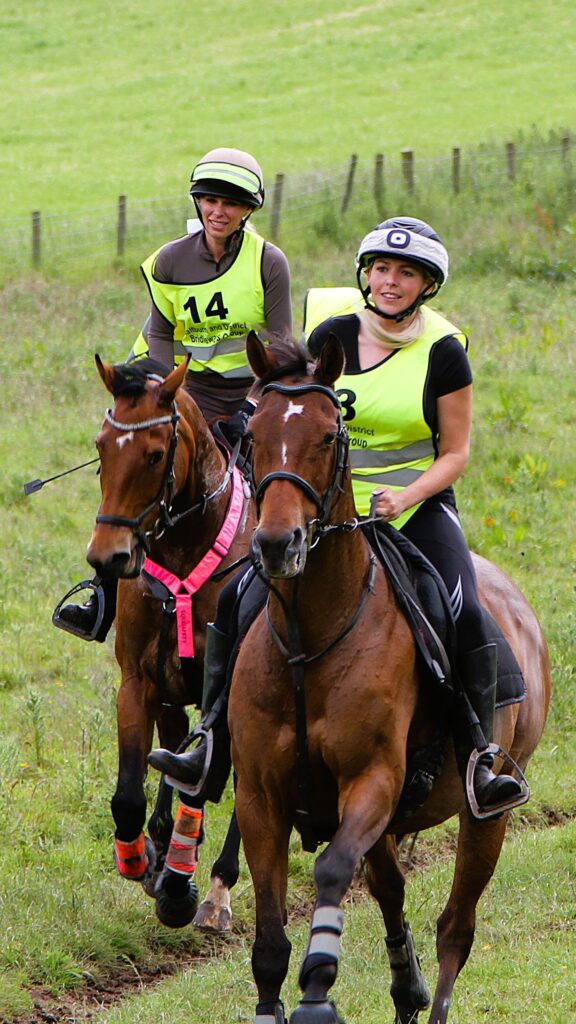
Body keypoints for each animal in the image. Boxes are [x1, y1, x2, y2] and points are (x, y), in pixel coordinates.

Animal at [85, 356, 253, 933]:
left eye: (155, 454)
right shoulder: (139, 682)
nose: (108, 556)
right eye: (100, 447)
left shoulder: (222, 693)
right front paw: (142, 860)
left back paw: (217, 887)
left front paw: (179, 888)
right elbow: (129, 795)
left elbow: (201, 782)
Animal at [226, 331, 549, 1019]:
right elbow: (269, 937)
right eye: (253, 433)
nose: (277, 544)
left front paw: (318, 991)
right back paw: (406, 988)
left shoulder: (371, 779)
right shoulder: (260, 797)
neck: (310, 640)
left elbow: (331, 869)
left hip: (489, 809)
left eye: (329, 435)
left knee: (456, 926)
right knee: (391, 887)